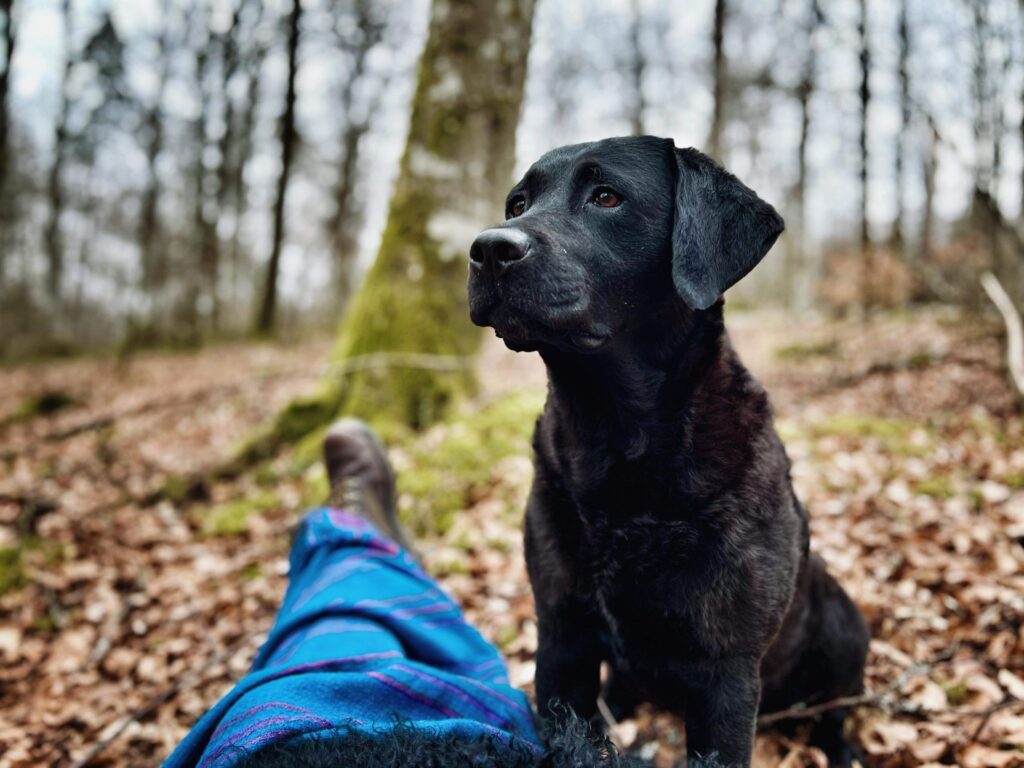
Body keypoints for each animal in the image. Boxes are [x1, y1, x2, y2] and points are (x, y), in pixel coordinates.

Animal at [468, 140, 868, 768]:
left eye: (607, 196)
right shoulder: (561, 637)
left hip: (845, 631)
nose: (488, 248)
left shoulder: (727, 672)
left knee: (836, 709)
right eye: (518, 203)